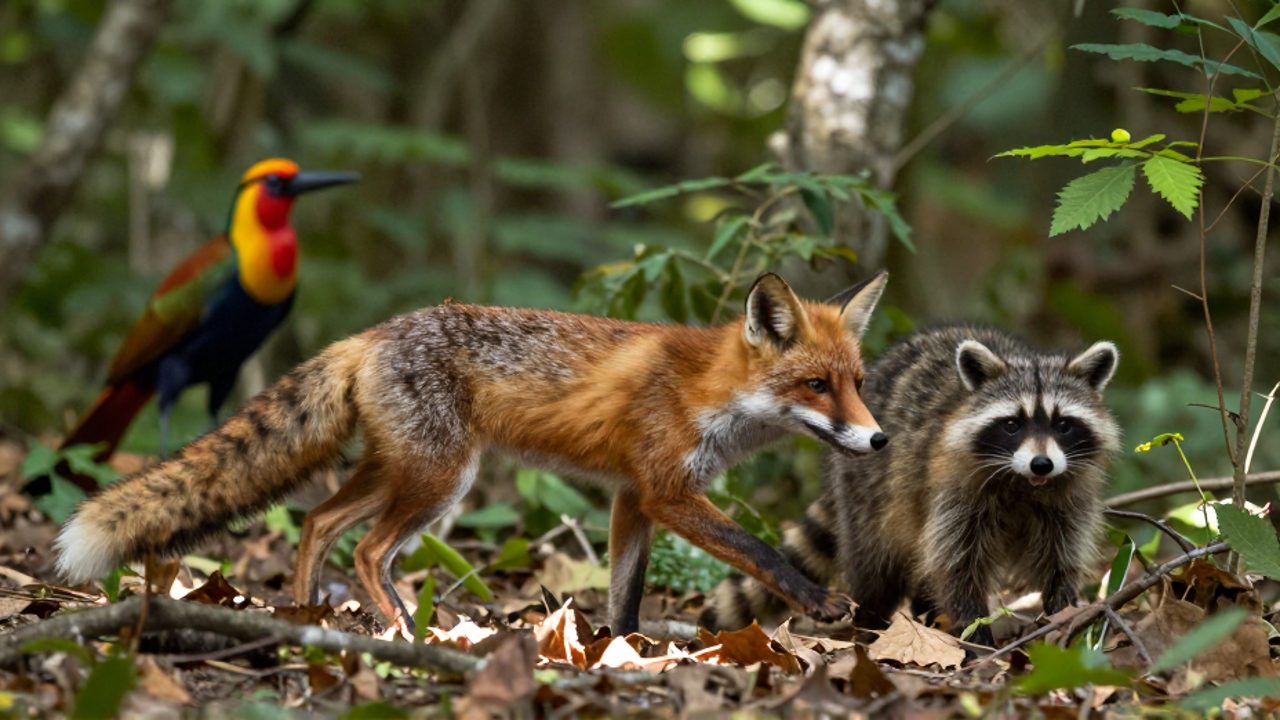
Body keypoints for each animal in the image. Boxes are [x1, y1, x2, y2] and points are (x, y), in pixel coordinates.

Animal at [55, 272, 890, 635]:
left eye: (857, 382)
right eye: (815, 385)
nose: (879, 438)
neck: (709, 390)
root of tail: (371, 334)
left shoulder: (632, 497)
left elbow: (624, 596)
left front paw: (619, 653)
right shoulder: (665, 490)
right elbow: (761, 551)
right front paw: (819, 601)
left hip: (406, 474)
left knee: (319, 523)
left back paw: (306, 610)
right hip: (441, 481)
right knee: (369, 550)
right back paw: (401, 624)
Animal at [700, 326, 1120, 647]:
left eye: (1063, 424)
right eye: (1012, 424)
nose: (1042, 463)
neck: (1023, 482)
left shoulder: (1067, 498)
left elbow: (1060, 557)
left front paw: (1064, 613)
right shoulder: (955, 488)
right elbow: (957, 564)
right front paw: (974, 630)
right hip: (868, 488)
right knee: (876, 562)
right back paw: (870, 623)